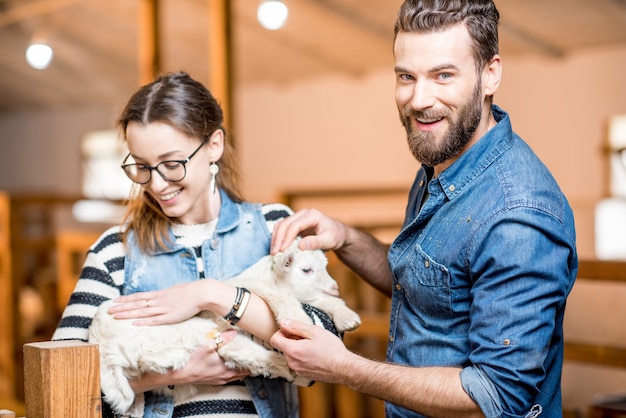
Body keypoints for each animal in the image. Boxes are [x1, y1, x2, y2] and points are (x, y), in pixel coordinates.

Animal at [88, 245, 360, 414]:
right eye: (306, 270)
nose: (335, 286)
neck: (270, 278)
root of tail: (102, 347)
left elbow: (322, 302)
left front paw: (347, 317)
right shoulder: (255, 288)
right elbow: (283, 300)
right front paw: (298, 320)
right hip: (186, 333)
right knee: (237, 351)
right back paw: (290, 369)